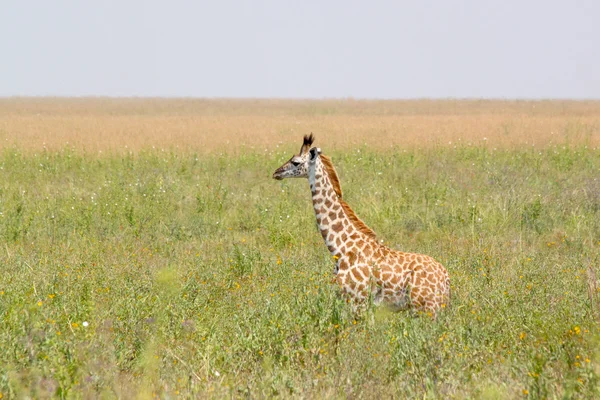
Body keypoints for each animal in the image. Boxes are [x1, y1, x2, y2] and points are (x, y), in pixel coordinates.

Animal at [272, 134, 450, 316]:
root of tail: (446, 278)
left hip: (426, 307)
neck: (339, 248)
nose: (276, 172)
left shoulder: (358, 300)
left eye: (295, 162)